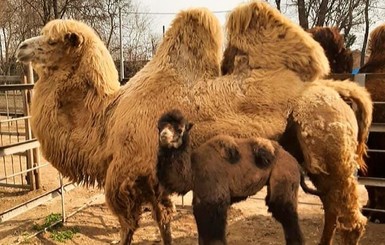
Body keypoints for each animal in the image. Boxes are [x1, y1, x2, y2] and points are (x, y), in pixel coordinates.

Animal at [156, 109, 304, 245]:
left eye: (179, 129)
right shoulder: (200, 200)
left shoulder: (215, 200)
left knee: (286, 213)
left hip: (284, 177)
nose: (164, 135)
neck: (193, 171)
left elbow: (214, 236)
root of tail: (295, 162)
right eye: (159, 127)